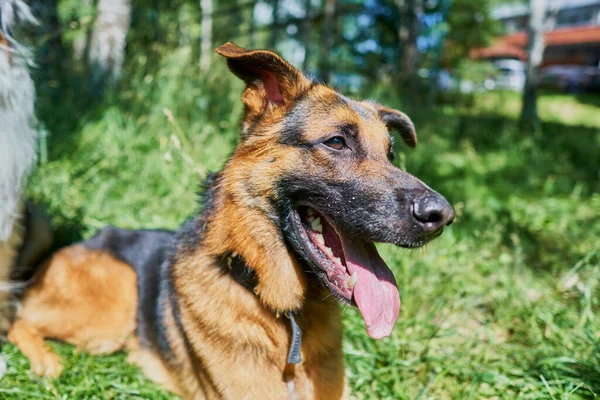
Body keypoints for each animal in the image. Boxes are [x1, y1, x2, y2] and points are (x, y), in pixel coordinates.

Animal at [8, 42, 454, 398]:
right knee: (16, 319)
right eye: (336, 142)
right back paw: (46, 360)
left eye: (391, 155)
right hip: (113, 309)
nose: (443, 216)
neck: (287, 319)